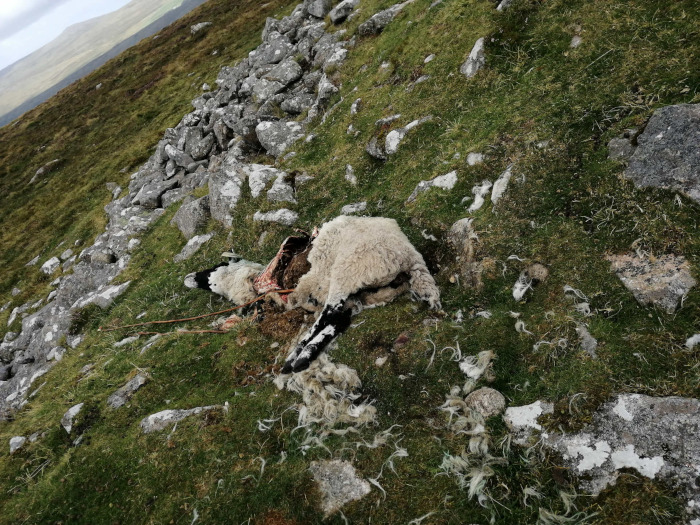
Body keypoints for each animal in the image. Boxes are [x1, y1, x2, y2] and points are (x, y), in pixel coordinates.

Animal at [184, 216, 441, 372]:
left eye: (216, 266)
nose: (188, 277)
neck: (260, 282)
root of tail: (408, 256)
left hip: (349, 271)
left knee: (331, 316)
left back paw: (297, 359)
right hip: (367, 289)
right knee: (335, 320)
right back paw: (300, 355)